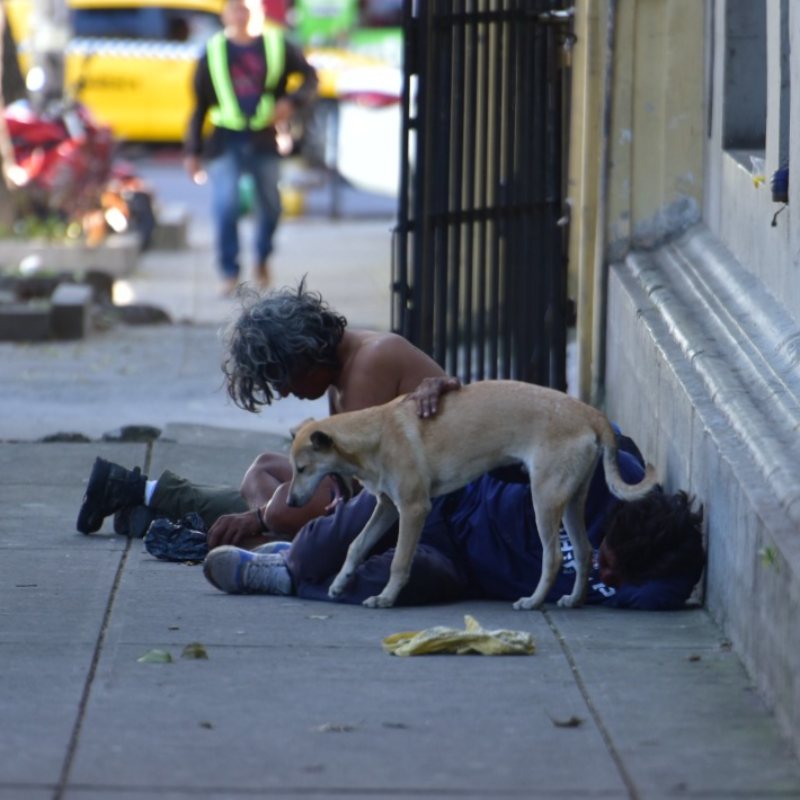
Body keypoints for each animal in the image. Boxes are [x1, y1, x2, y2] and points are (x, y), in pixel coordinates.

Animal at [288, 378, 656, 608]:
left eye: (302, 469)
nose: (290, 502)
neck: (376, 432)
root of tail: (592, 414)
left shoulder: (413, 508)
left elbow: (399, 561)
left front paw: (386, 598)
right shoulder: (388, 507)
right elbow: (355, 545)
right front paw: (340, 582)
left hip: (545, 498)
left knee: (552, 557)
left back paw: (533, 601)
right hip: (571, 500)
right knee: (583, 551)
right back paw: (573, 600)